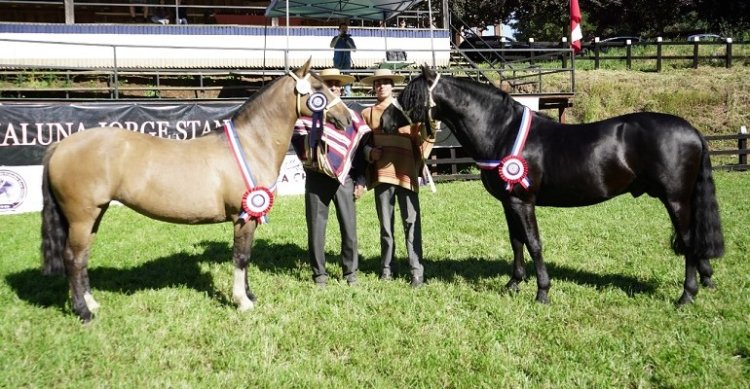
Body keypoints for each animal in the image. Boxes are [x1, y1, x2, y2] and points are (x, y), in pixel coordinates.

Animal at [42, 58, 354, 322]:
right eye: (318, 90)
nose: (347, 118)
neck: (251, 144)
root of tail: (61, 145)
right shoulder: (243, 216)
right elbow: (240, 257)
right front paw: (243, 302)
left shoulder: (250, 217)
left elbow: (246, 256)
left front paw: (249, 295)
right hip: (82, 217)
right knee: (73, 259)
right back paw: (83, 312)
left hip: (94, 215)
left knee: (82, 258)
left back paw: (91, 303)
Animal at [384, 65, 724, 304]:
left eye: (410, 96)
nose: (385, 121)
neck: (501, 130)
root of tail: (692, 131)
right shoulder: (509, 203)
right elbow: (517, 242)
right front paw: (513, 284)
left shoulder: (523, 201)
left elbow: (534, 243)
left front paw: (542, 292)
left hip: (676, 200)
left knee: (689, 242)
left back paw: (687, 295)